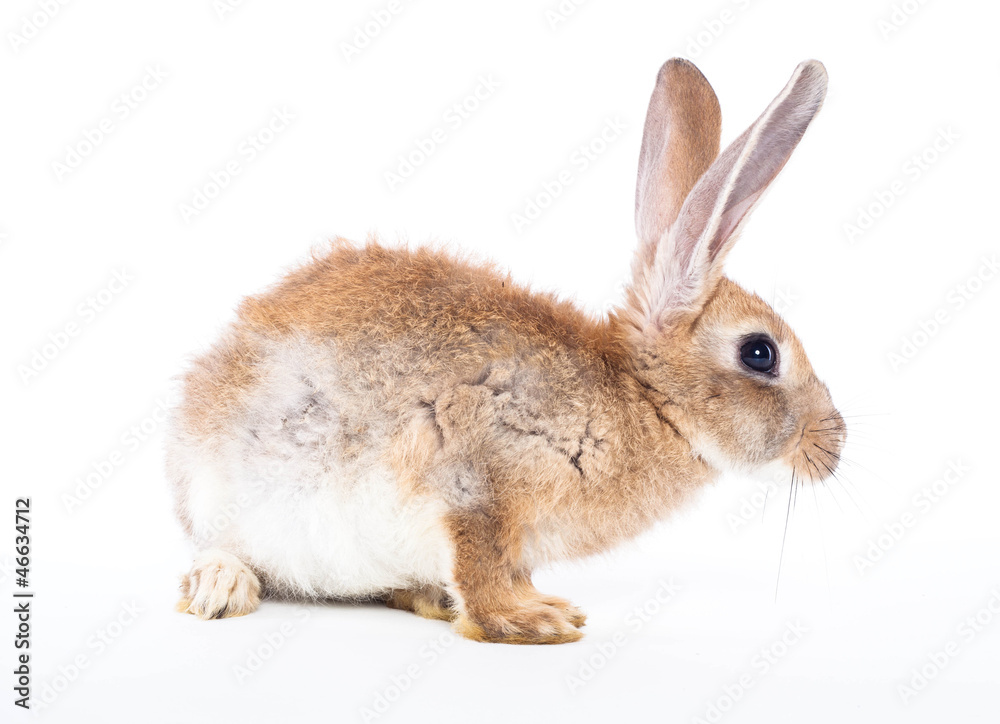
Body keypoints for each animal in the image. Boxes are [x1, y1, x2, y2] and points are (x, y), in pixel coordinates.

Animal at [167, 57, 844, 644]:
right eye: (760, 354)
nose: (833, 447)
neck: (644, 401)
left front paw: (533, 604)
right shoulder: (480, 479)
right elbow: (481, 565)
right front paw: (535, 622)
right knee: (222, 543)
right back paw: (220, 586)